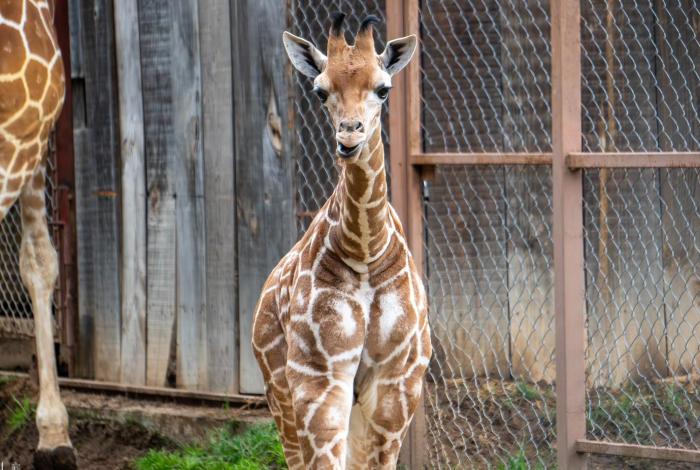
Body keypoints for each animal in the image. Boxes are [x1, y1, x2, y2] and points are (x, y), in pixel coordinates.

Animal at [252, 14, 432, 469]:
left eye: (383, 88)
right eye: (320, 91)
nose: (349, 139)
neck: (365, 250)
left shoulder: (397, 380)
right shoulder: (319, 375)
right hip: (279, 390)